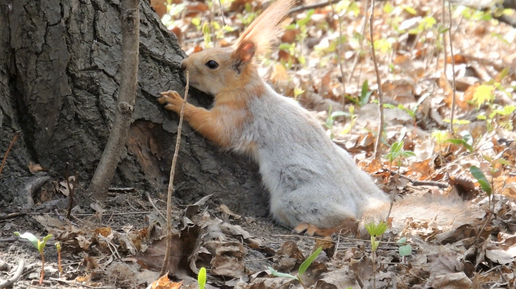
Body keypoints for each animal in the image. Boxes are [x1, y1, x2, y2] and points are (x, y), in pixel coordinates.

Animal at [158, 0, 480, 235]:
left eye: (211, 63)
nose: (182, 65)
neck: (249, 88)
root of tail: (365, 203)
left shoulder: (240, 115)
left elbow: (216, 129)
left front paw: (178, 102)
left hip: (293, 201)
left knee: (350, 223)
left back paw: (316, 229)